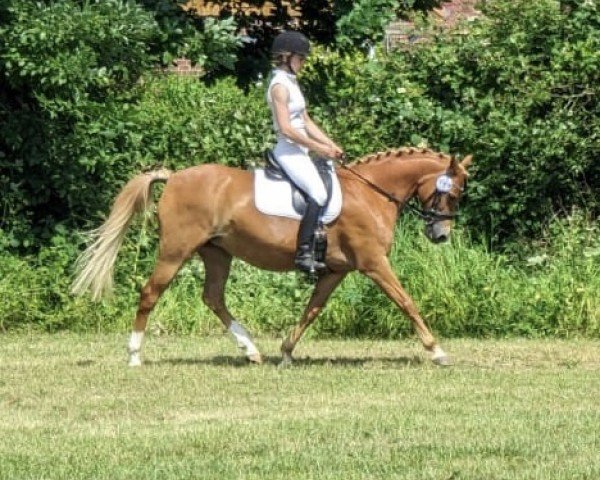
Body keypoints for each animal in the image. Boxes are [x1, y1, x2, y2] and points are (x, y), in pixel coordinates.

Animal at [71, 148, 474, 366]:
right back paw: (134, 355)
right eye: (453, 193)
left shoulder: (336, 271)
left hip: (217, 253)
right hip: (175, 250)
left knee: (213, 297)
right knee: (150, 293)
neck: (371, 193)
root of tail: (172, 177)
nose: (440, 235)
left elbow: (312, 309)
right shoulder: (374, 263)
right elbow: (406, 302)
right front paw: (438, 351)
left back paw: (252, 351)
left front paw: (286, 352)